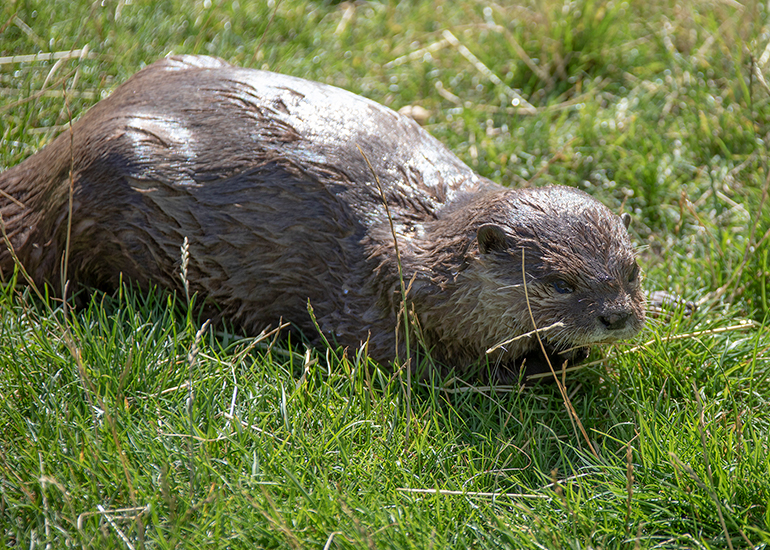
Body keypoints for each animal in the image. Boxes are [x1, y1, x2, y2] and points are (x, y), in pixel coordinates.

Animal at [0, 55, 645, 381]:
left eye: (632, 271)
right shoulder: (371, 310)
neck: (417, 262)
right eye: (559, 283)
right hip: (100, 188)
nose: (617, 317)